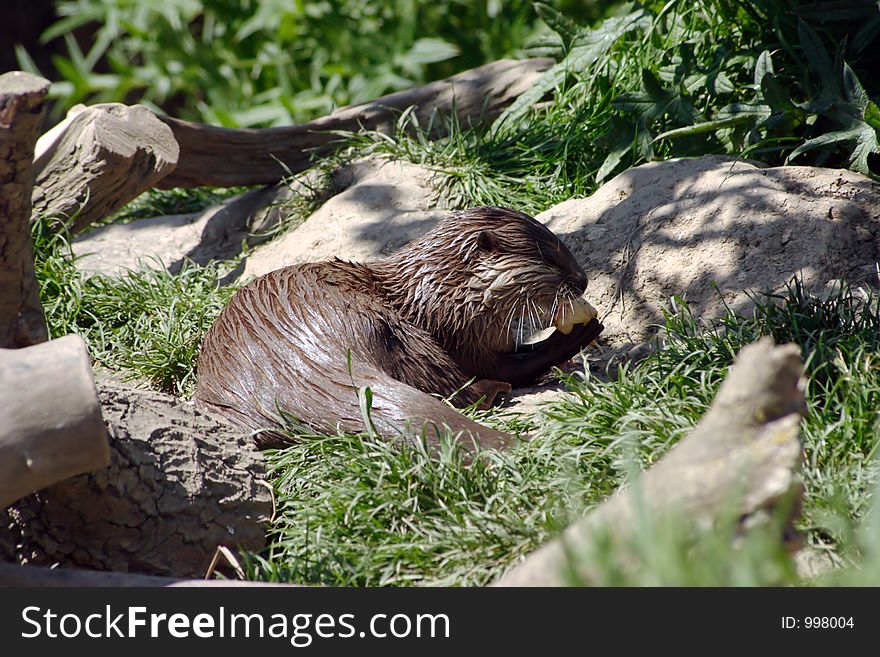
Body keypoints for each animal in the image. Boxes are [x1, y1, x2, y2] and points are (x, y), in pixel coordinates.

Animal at [195, 208, 600, 448]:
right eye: (550, 257)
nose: (583, 280)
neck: (439, 291)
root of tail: (294, 369)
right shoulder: (457, 331)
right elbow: (507, 363)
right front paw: (580, 331)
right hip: (396, 332)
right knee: (458, 387)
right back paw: (497, 389)